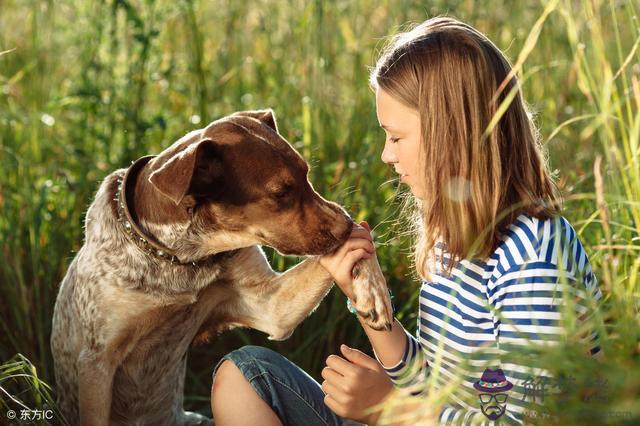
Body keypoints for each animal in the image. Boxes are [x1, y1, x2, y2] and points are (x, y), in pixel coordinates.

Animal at [50, 110, 392, 426]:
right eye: (281, 193)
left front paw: (373, 292)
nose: (346, 225)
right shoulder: (96, 363)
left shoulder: (270, 307)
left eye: (307, 173)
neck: (181, 259)